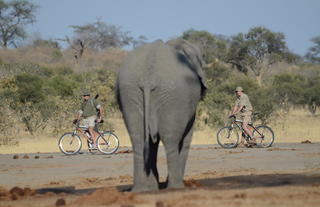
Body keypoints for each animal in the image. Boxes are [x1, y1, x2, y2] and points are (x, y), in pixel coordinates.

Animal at [116, 38, 206, 192]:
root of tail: (148, 76)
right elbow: (186, 137)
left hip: (129, 92)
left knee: (138, 138)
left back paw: (140, 189)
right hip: (174, 97)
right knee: (171, 138)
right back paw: (176, 187)